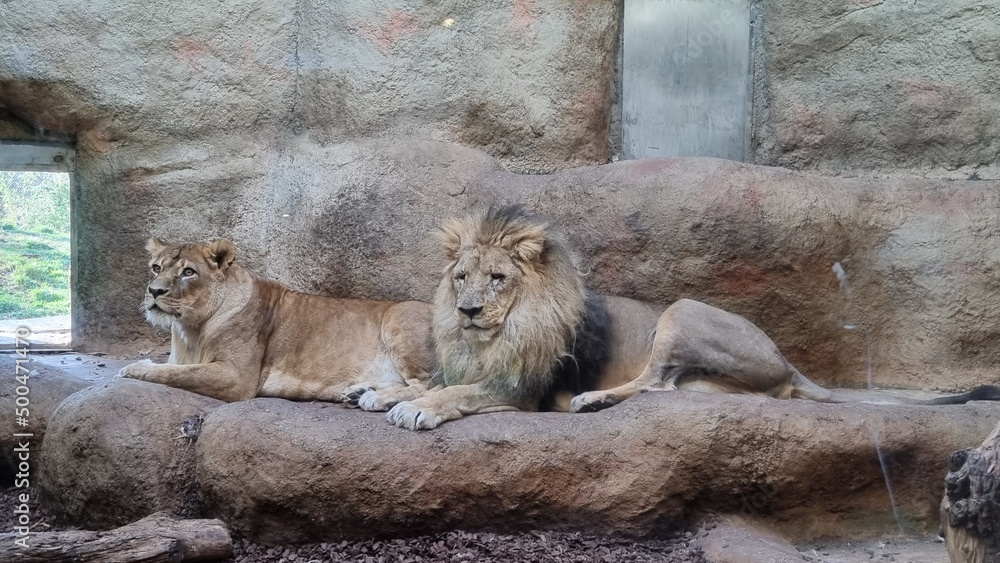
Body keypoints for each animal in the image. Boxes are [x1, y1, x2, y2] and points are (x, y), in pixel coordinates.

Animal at [118, 238, 435, 407]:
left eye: (188, 272)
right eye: (156, 267)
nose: (155, 291)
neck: (190, 329)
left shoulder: (237, 377)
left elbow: (177, 373)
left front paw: (133, 369)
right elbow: (177, 368)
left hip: (399, 317)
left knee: (428, 385)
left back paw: (376, 399)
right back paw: (359, 392)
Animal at [386, 206, 1000, 430]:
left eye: (498, 278)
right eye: (461, 277)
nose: (467, 310)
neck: (493, 336)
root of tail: (785, 359)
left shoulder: (522, 390)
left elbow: (458, 394)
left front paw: (416, 409)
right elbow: (433, 380)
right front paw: (385, 392)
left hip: (680, 312)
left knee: (654, 384)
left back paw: (592, 400)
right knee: (673, 387)